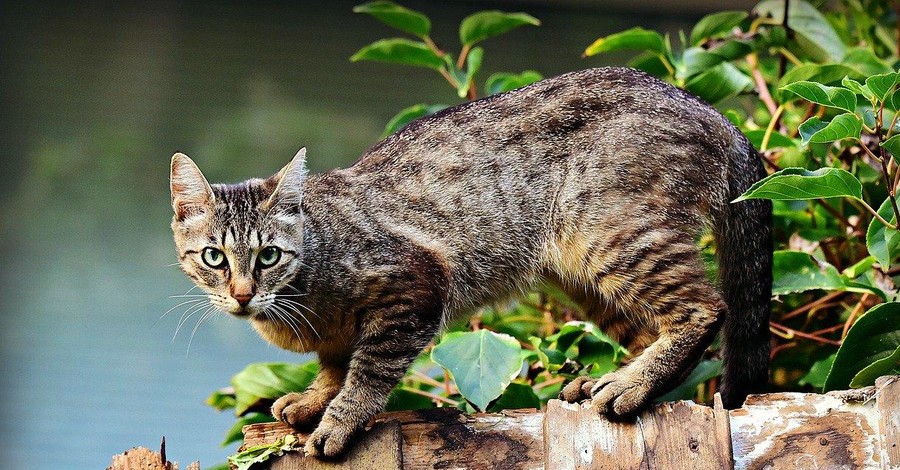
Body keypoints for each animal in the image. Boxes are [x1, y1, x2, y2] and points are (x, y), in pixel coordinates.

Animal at [171, 67, 772, 458]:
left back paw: (629, 386)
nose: (242, 294)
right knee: (652, 329)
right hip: (581, 273)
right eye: (214, 257)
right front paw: (315, 399)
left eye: (269, 255)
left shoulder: (414, 289)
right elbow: (335, 365)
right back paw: (612, 380)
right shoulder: (340, 334)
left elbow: (367, 371)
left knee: (705, 309)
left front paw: (340, 419)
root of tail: (715, 114)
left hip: (611, 235)